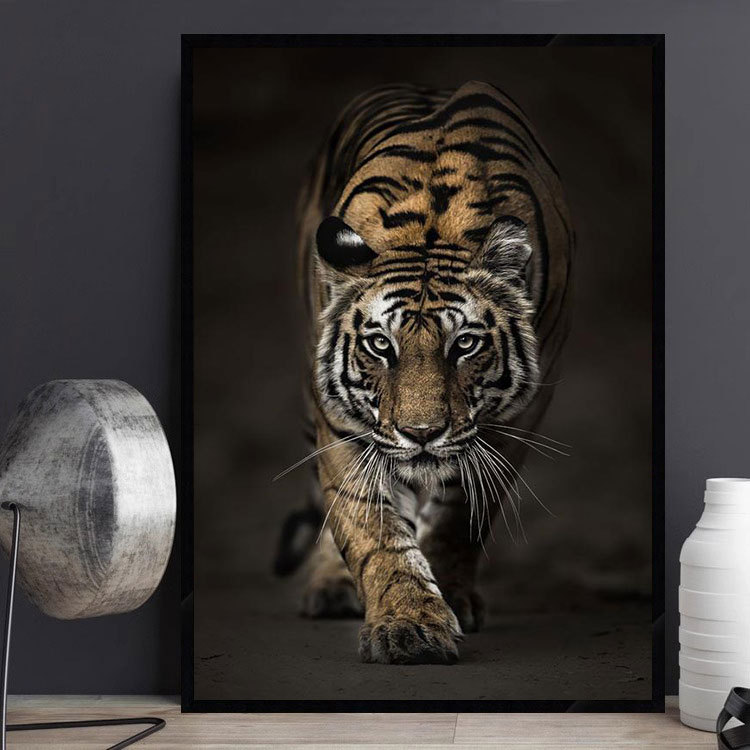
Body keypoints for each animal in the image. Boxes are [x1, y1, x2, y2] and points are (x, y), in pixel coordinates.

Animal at [274, 80, 573, 665]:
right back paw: (332, 588)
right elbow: (373, 532)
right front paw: (408, 626)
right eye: (379, 345)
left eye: (465, 344)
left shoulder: (514, 422)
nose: (421, 434)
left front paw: (449, 598)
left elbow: (461, 516)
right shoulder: (344, 427)